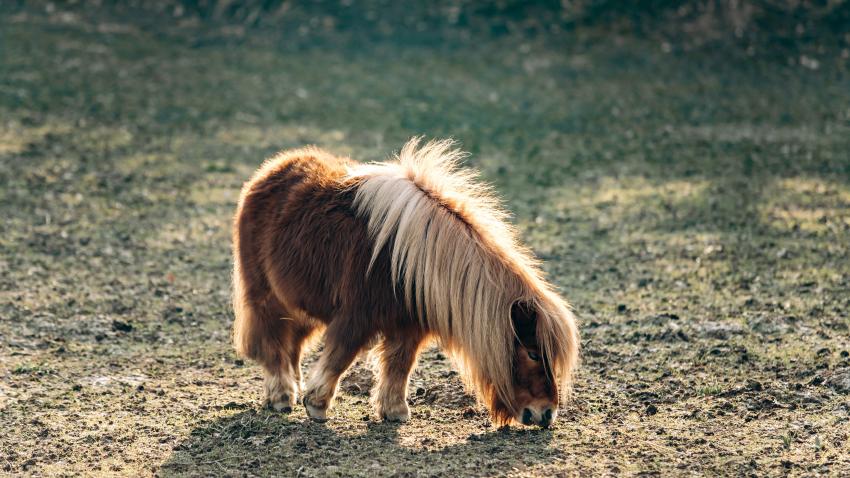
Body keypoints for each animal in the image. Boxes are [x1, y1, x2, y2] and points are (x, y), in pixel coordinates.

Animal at [230, 138, 576, 426]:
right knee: (273, 343)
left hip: (302, 306)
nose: (546, 414)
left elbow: (399, 365)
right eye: (533, 353)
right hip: (266, 297)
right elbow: (340, 357)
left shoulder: (409, 326)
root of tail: (272, 170)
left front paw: (394, 411)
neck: (412, 262)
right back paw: (281, 396)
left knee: (293, 346)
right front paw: (316, 405)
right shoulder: (356, 318)